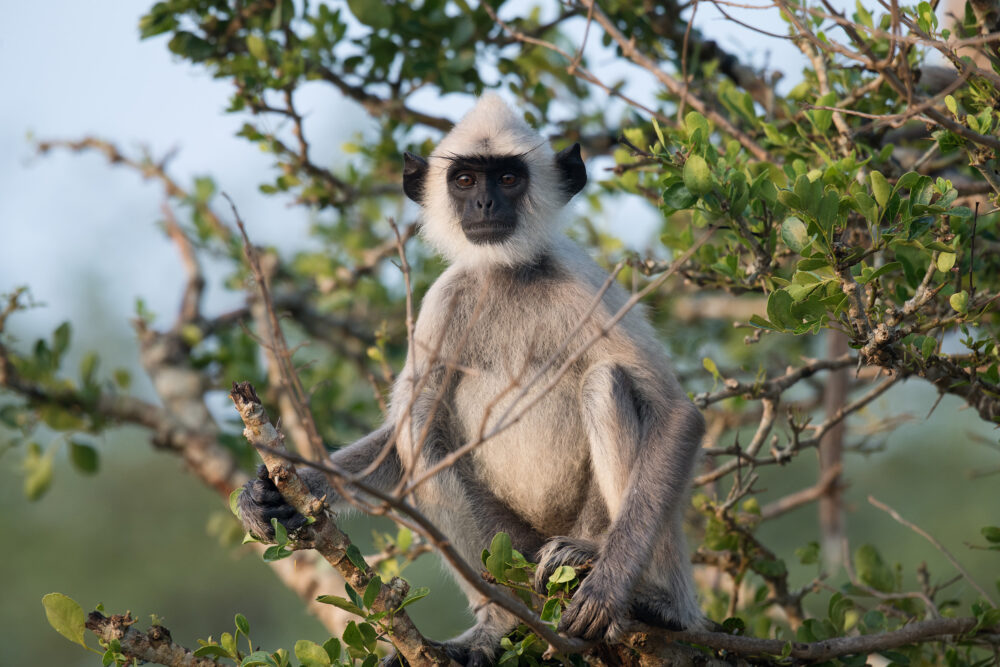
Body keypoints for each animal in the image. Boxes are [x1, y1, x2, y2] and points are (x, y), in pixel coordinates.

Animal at [238, 92, 708, 664]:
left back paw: (653, 599)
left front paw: (609, 589)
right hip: (514, 549)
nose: (483, 205)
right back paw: (497, 626)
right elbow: (398, 438)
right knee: (421, 423)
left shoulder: (586, 284)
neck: (508, 271)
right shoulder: (446, 301)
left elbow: (677, 413)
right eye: (464, 180)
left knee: (604, 382)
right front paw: (270, 494)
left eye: (507, 178)